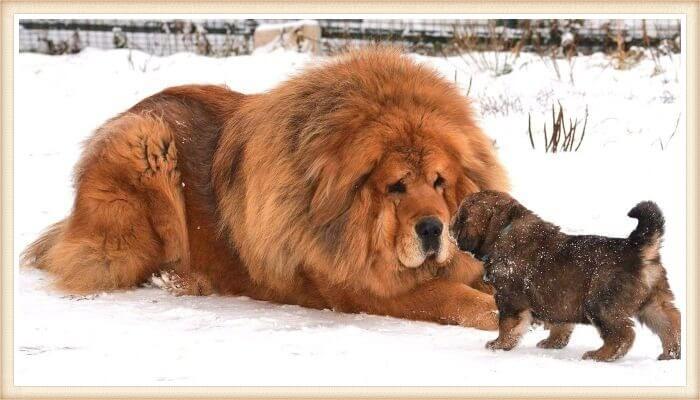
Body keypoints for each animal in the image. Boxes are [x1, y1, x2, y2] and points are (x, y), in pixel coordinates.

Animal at [19, 49, 506, 332]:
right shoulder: (362, 288)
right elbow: (452, 296)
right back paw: (183, 278)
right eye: (396, 187)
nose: (433, 229)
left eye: (439, 182)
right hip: (143, 145)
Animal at [452, 191, 680, 362]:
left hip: (600, 303)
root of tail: (638, 248)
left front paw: (498, 345)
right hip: (654, 301)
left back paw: (599, 355)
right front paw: (552, 343)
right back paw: (670, 354)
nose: (450, 228)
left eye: (461, 217)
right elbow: (560, 325)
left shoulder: (509, 298)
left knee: (623, 335)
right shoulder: (557, 299)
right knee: (670, 323)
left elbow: (507, 325)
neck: (504, 229)